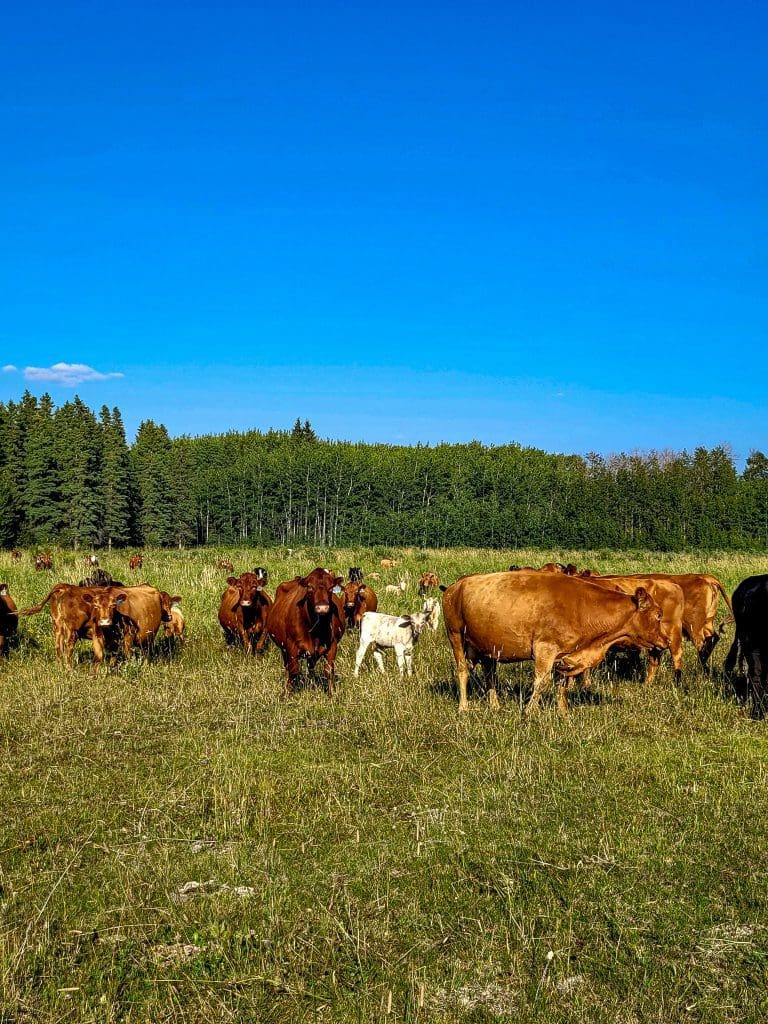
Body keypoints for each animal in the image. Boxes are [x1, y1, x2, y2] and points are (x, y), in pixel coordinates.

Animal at [441, 571, 667, 714]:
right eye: (658, 614)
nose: (665, 641)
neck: (583, 607)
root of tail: (455, 586)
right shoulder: (545, 650)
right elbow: (541, 682)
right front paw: (529, 713)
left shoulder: (565, 655)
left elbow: (562, 685)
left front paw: (563, 713)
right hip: (455, 636)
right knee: (462, 670)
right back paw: (463, 707)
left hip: (487, 647)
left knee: (489, 674)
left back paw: (495, 705)